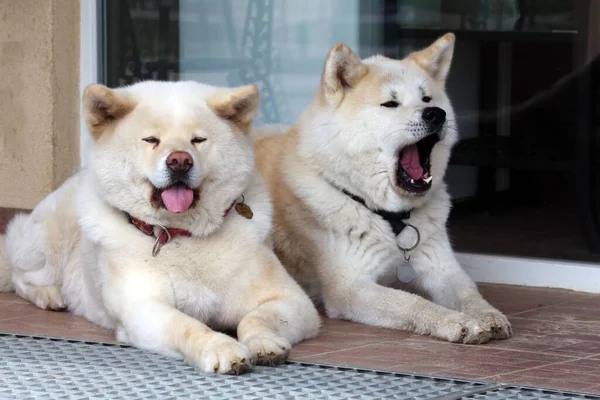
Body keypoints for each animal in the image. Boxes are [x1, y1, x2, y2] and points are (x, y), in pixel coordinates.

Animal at [253, 34, 510, 344]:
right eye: (390, 103)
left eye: (427, 98)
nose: (436, 114)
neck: (391, 218)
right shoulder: (350, 288)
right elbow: (413, 302)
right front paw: (453, 320)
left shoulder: (443, 269)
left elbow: (470, 294)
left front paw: (487, 316)